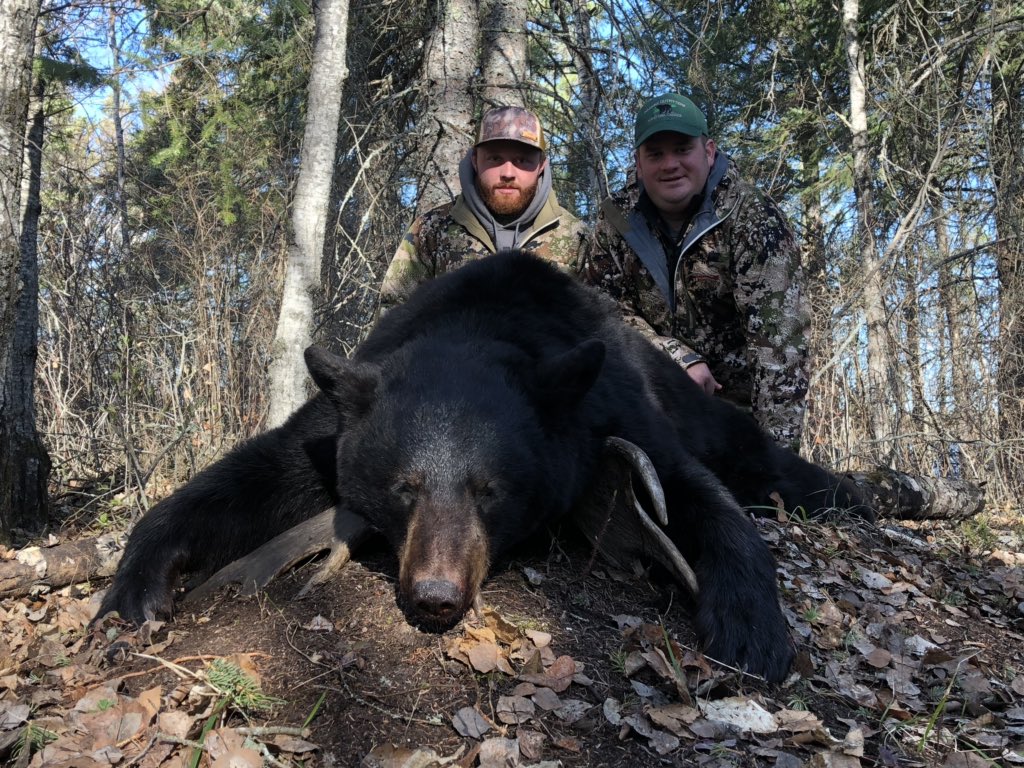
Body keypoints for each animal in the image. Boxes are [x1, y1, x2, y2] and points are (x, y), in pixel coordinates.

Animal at [96, 251, 869, 683]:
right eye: (403, 487)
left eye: (491, 489)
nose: (436, 596)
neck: (478, 325)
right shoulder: (341, 413)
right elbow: (256, 472)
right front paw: (137, 585)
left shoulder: (607, 409)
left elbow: (700, 497)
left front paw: (750, 629)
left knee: (756, 454)